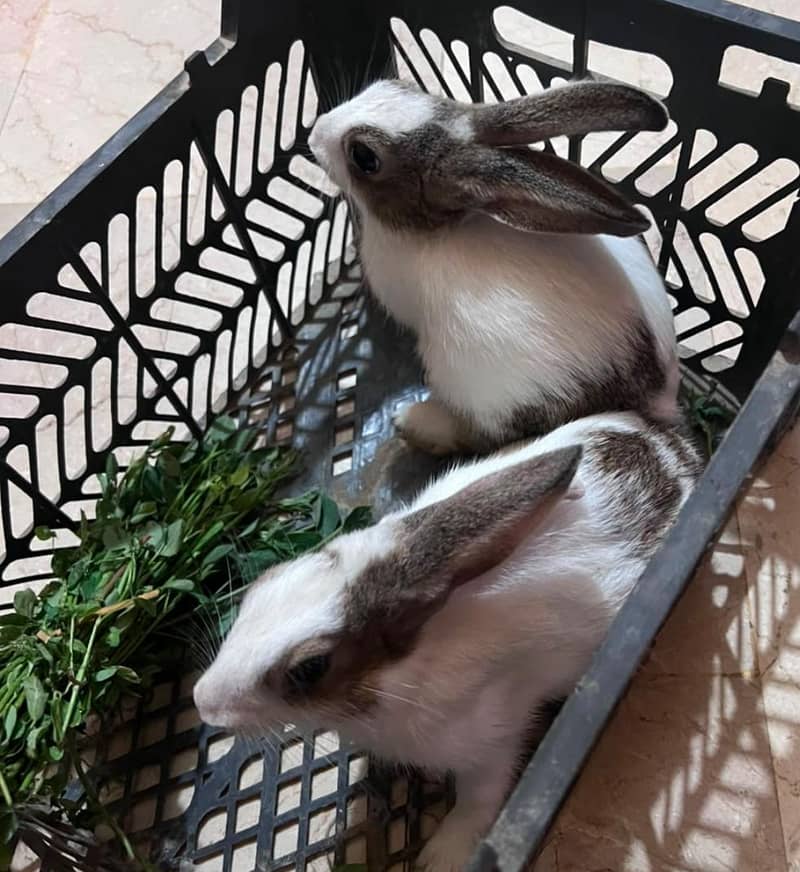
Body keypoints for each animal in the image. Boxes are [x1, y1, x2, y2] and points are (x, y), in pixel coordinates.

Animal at [194, 411, 701, 871]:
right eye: (261, 586)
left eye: (310, 668)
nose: (203, 702)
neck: (403, 668)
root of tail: (678, 444)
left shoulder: (494, 738)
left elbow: (480, 799)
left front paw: (442, 857)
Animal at [307, 79, 679, 455]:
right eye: (397, 84)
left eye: (364, 157)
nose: (313, 133)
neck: (437, 228)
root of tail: (656, 399)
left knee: (477, 434)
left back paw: (413, 421)